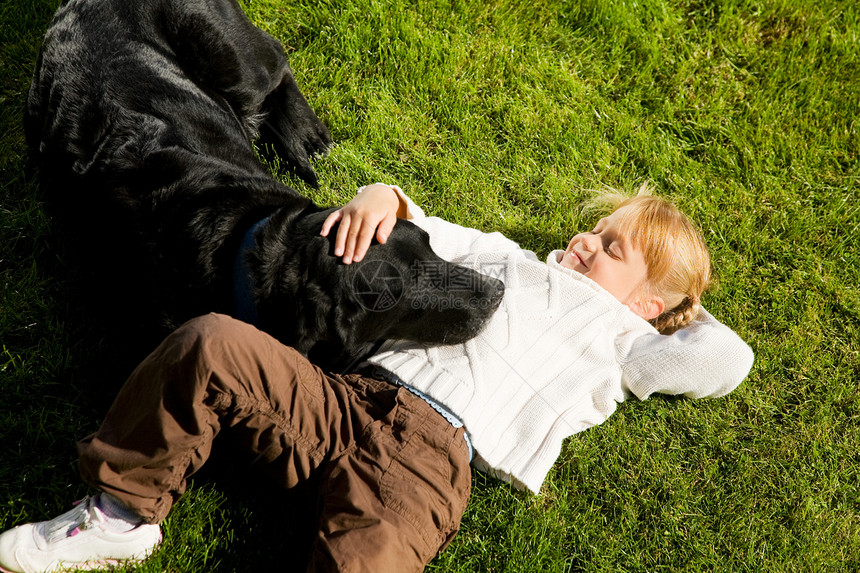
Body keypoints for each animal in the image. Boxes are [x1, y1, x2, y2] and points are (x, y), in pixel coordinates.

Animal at [26, 0, 504, 368]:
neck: (243, 240)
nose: (498, 291)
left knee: (276, 66)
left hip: (234, 61)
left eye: (429, 243)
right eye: (405, 291)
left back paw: (307, 139)